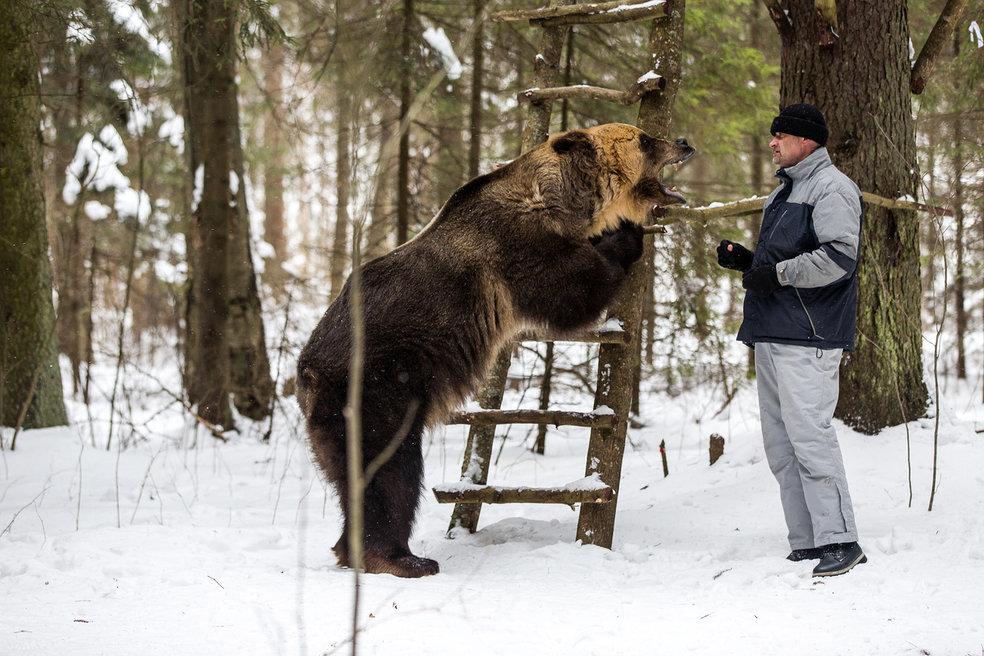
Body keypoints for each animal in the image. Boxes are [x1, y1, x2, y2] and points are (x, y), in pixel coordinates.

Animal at [296, 121, 696, 576]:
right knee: (389, 467)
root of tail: (307, 371)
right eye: (645, 139)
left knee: (353, 480)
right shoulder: (517, 247)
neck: (563, 203)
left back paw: (355, 551)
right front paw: (626, 234)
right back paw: (403, 558)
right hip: (380, 387)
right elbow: (570, 291)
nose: (683, 142)